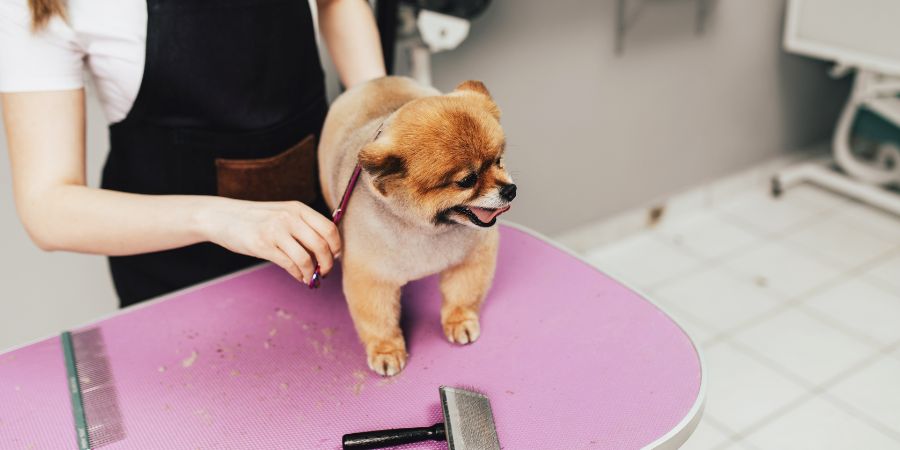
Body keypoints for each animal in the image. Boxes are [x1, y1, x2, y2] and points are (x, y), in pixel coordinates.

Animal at [318, 77, 516, 376]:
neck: (424, 230)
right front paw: (386, 351)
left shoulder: (471, 257)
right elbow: (379, 320)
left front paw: (459, 321)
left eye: (498, 161)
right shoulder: (371, 279)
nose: (510, 190)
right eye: (467, 180)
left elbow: (463, 295)